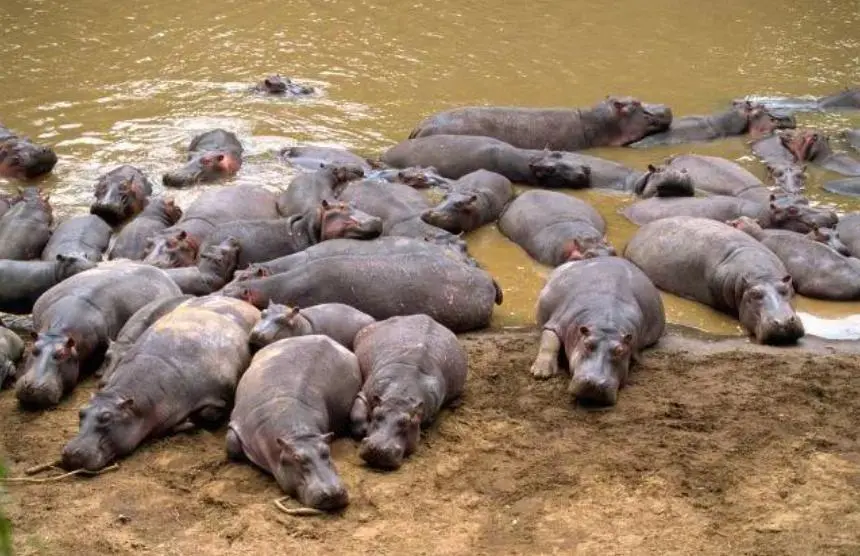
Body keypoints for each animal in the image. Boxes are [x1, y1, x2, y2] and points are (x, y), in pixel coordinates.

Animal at [61, 296, 259, 471]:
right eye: (81, 412)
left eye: (106, 418)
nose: (70, 452)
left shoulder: (218, 396)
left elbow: (208, 413)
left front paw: (188, 422)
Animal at [227, 336, 359, 511]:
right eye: (297, 458)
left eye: (327, 451)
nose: (333, 493)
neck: (298, 435)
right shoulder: (239, 424)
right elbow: (232, 444)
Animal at [350, 314, 467, 470]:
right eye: (376, 414)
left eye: (406, 422)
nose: (377, 449)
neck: (400, 395)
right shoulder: (365, 394)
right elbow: (356, 416)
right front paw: (364, 429)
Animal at [531, 257, 665, 406]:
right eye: (587, 344)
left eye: (620, 351)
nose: (594, 383)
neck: (605, 323)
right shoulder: (557, 323)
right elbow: (549, 342)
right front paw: (540, 373)